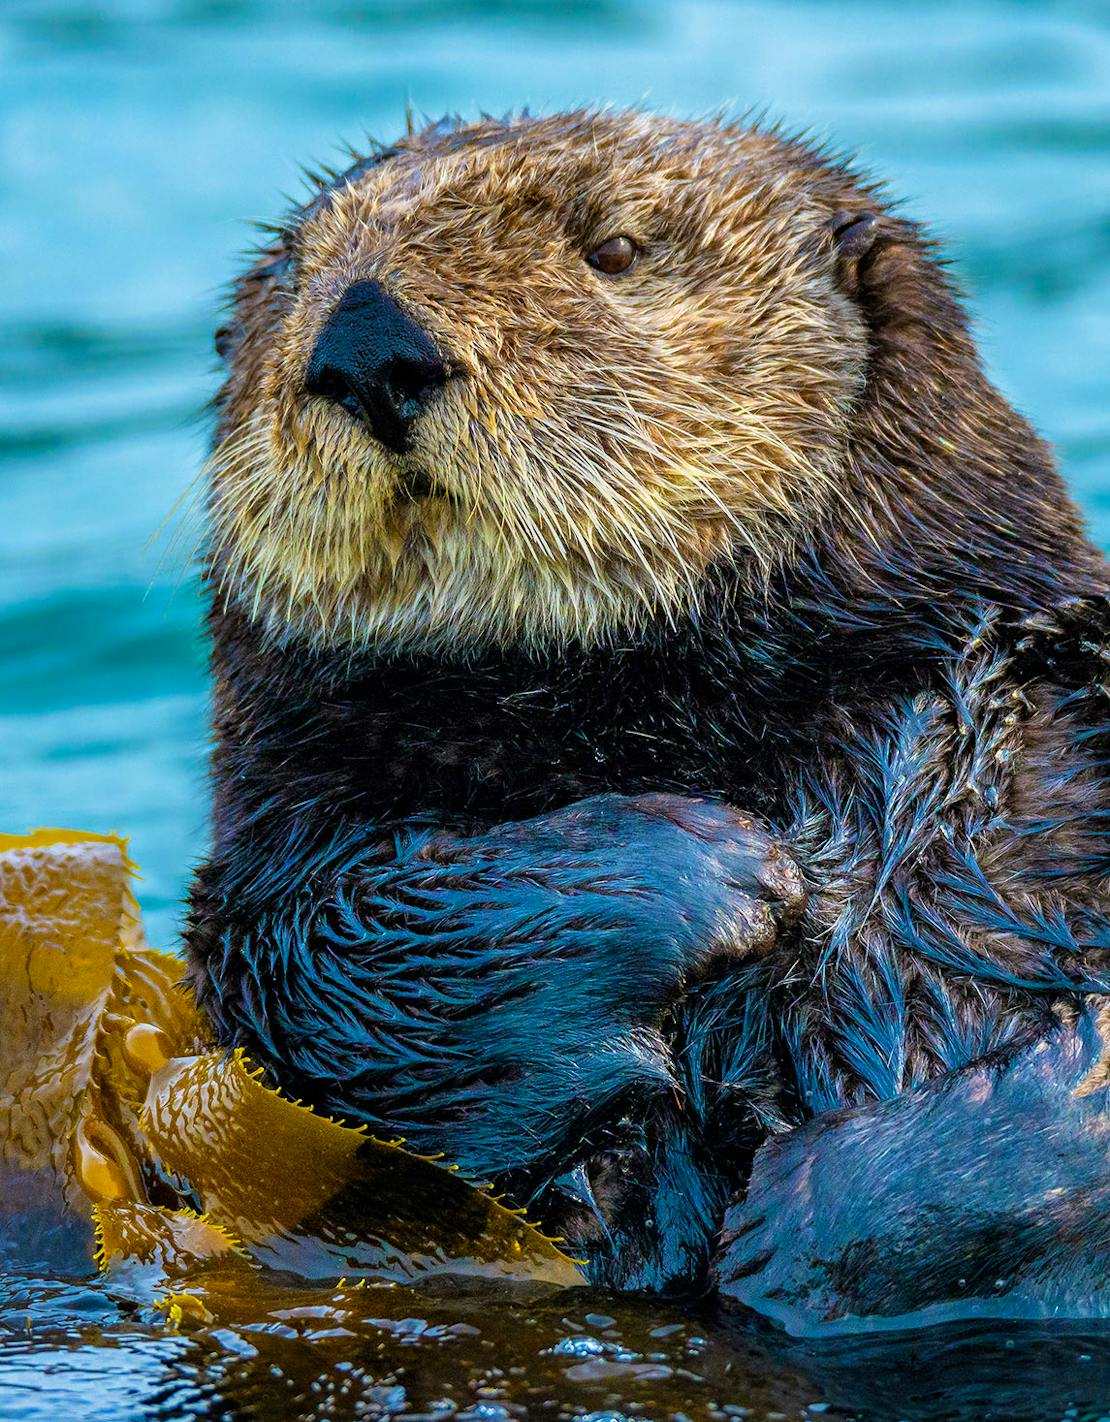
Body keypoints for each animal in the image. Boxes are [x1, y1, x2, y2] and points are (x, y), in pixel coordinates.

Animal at [186, 110, 1108, 1319]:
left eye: (615, 249)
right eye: (298, 277)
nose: (368, 344)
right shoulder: (275, 890)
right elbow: (331, 971)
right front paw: (722, 873)